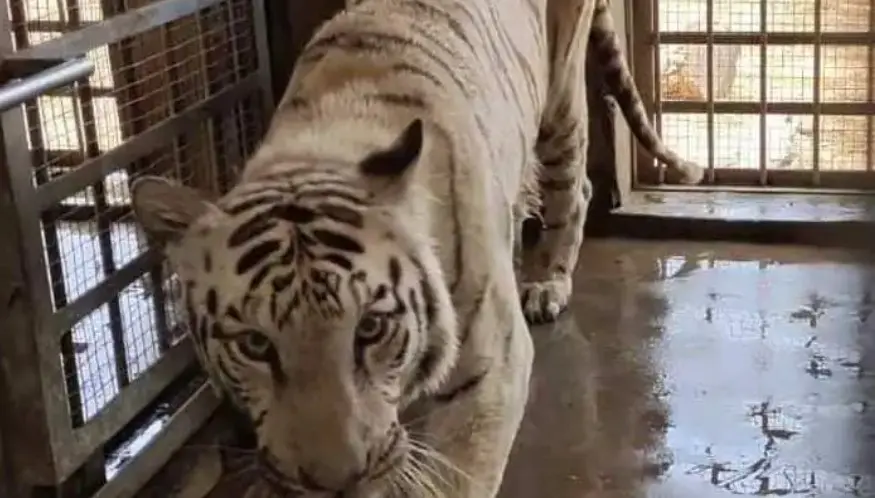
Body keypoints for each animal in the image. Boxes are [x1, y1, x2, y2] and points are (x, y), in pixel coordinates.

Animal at [130, 0, 702, 496]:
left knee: (575, 187)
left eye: (370, 328)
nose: (336, 482)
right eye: (254, 344)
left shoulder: (492, 371)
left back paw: (546, 283)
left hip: (561, 96)